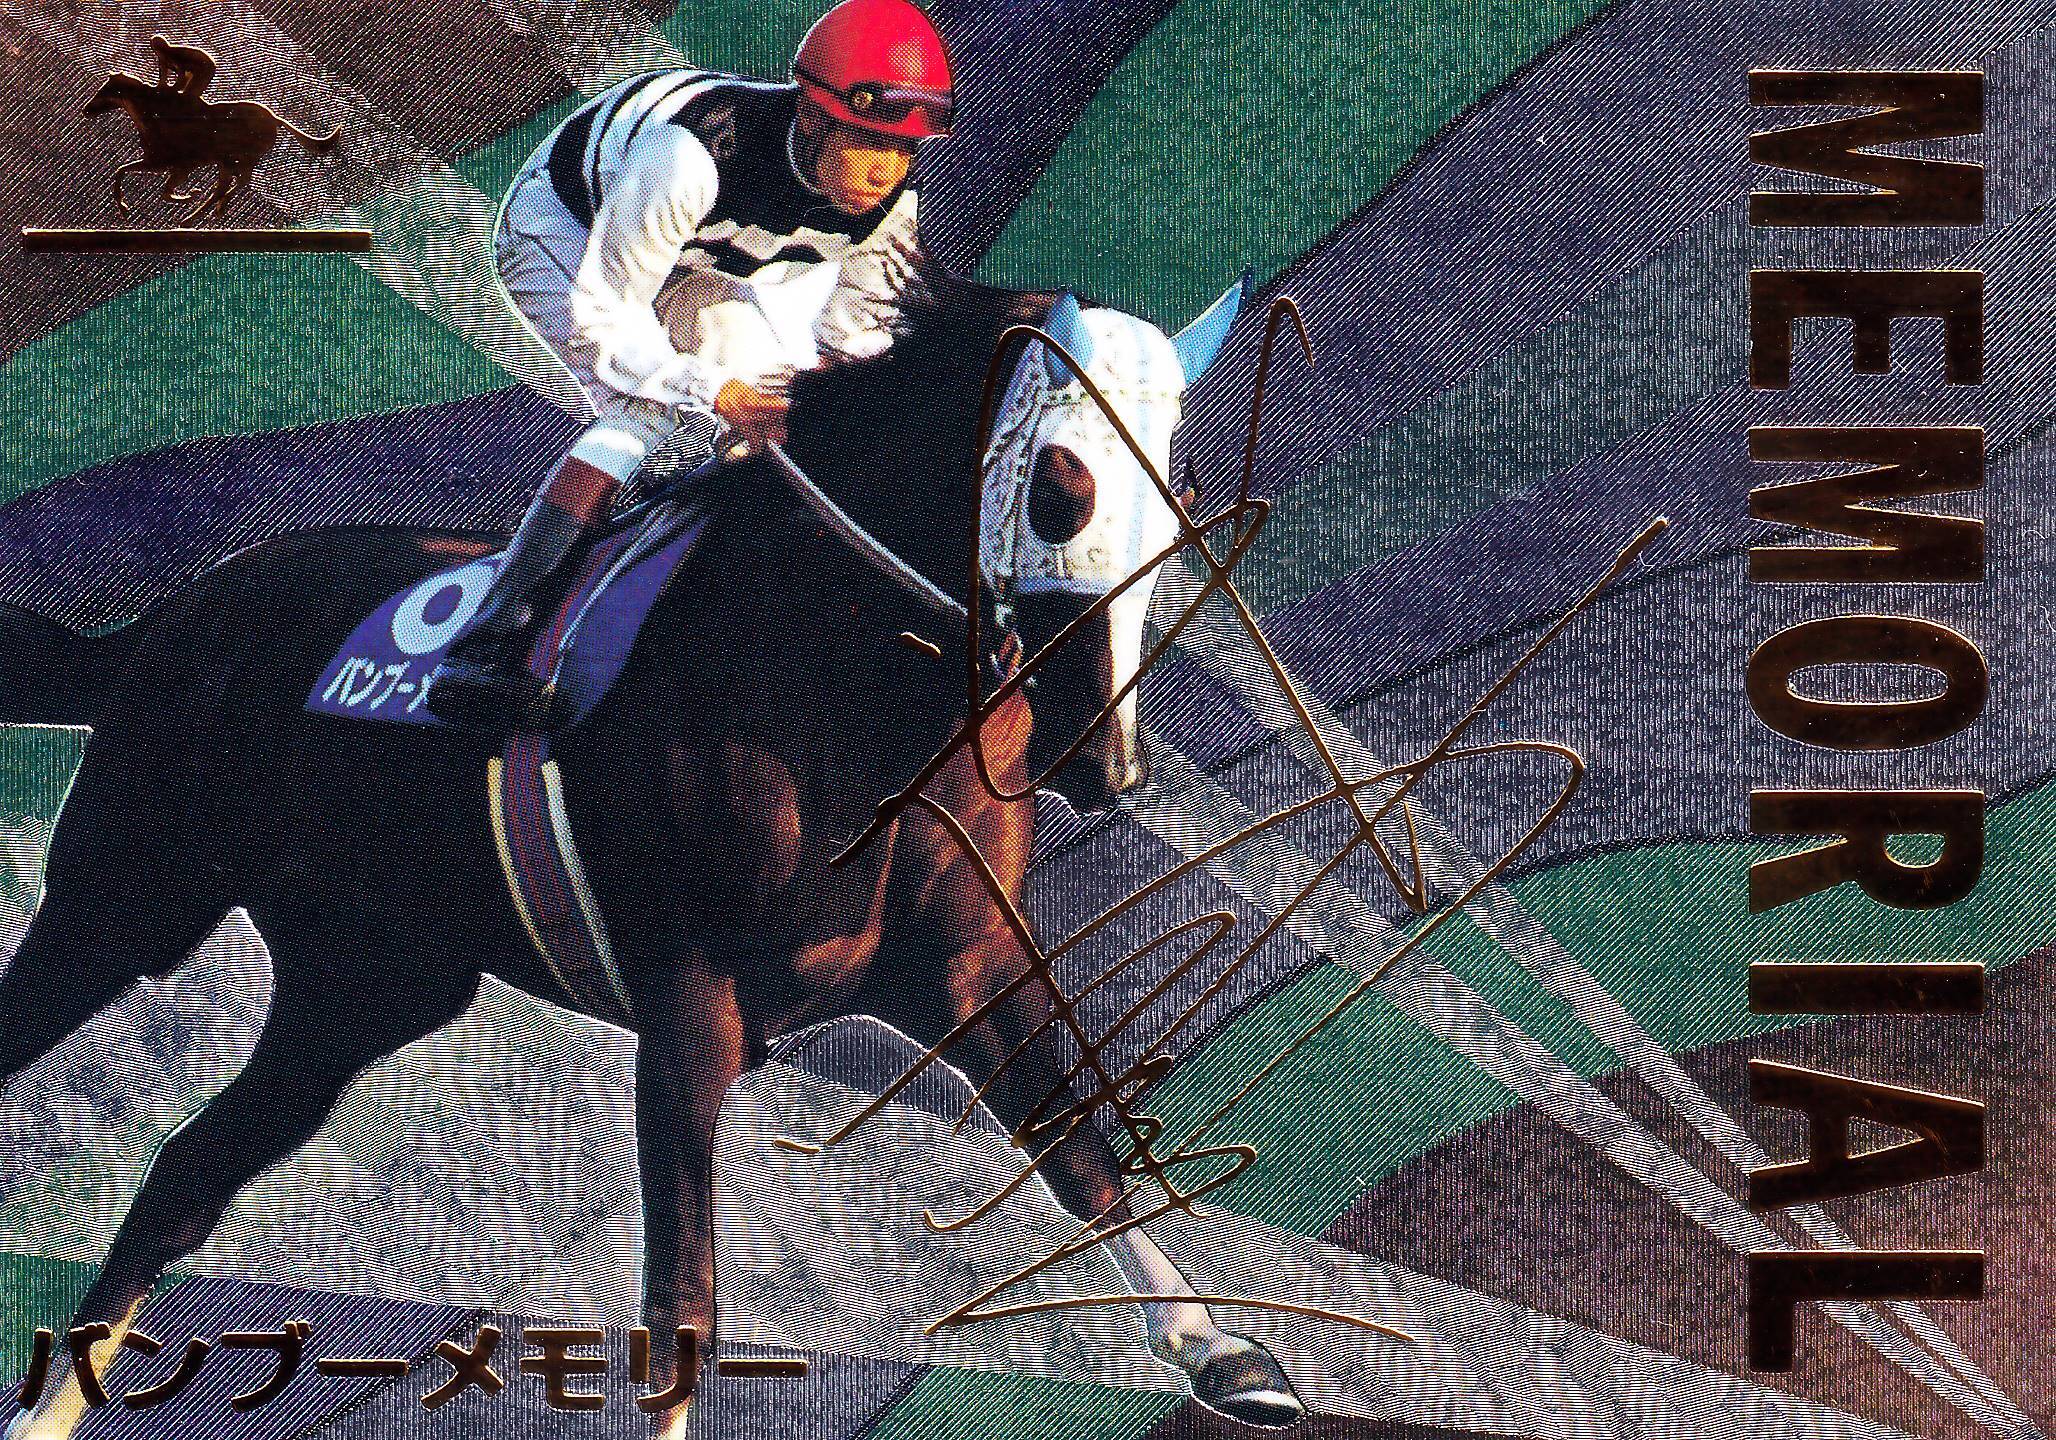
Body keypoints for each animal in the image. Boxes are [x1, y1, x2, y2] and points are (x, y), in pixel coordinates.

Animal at [0, 277, 1306, 1437]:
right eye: (1059, 489)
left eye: (1183, 500)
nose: (1109, 762)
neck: (839, 694)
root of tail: (173, 618)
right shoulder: (689, 1009)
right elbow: (685, 1300)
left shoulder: (962, 972)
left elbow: (1076, 1145)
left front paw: (1222, 1349)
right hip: (122, 903)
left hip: (363, 990)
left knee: (186, 1173)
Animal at [82, 71, 338, 224]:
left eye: (105, 90)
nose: (86, 109)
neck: (154, 115)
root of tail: (275, 118)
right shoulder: (166, 163)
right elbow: (132, 175)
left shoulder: (171, 163)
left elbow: (128, 174)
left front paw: (126, 208)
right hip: (228, 160)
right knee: (228, 184)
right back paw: (207, 213)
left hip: (243, 157)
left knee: (235, 182)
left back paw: (198, 215)